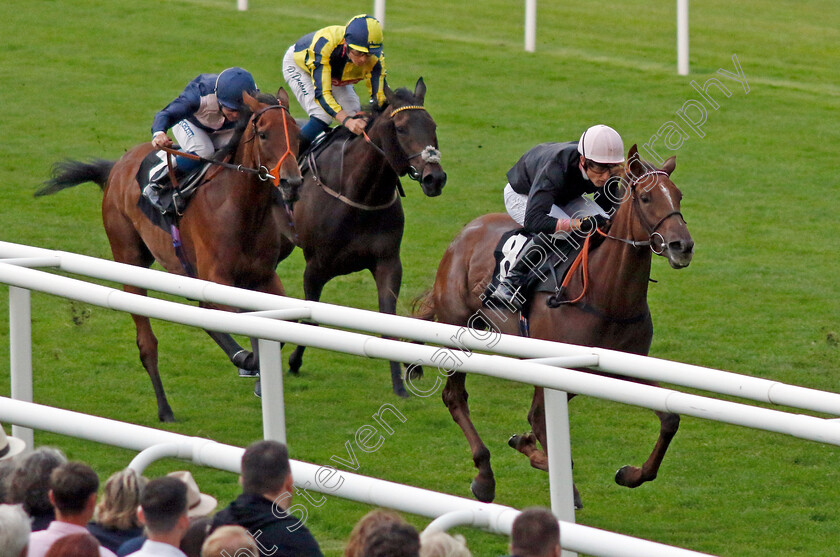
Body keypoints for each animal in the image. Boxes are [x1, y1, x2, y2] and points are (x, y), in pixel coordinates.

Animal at [38, 90, 306, 422]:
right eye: (265, 134)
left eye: (297, 134)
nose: (292, 183)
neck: (240, 207)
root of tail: (118, 166)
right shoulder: (216, 280)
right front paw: (250, 362)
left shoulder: (263, 277)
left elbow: (281, 327)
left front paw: (259, 373)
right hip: (129, 260)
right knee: (147, 343)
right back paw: (165, 408)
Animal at [278, 78, 446, 398]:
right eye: (401, 128)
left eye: (433, 125)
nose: (435, 178)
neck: (361, 193)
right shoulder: (316, 266)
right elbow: (311, 316)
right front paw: (293, 361)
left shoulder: (388, 262)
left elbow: (388, 323)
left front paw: (399, 384)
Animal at [414, 147, 696, 504]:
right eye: (646, 198)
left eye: (678, 195)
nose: (682, 246)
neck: (607, 295)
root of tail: (464, 233)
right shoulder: (552, 366)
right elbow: (541, 424)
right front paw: (552, 471)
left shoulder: (625, 365)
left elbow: (670, 418)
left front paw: (631, 474)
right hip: (456, 330)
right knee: (454, 397)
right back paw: (484, 475)